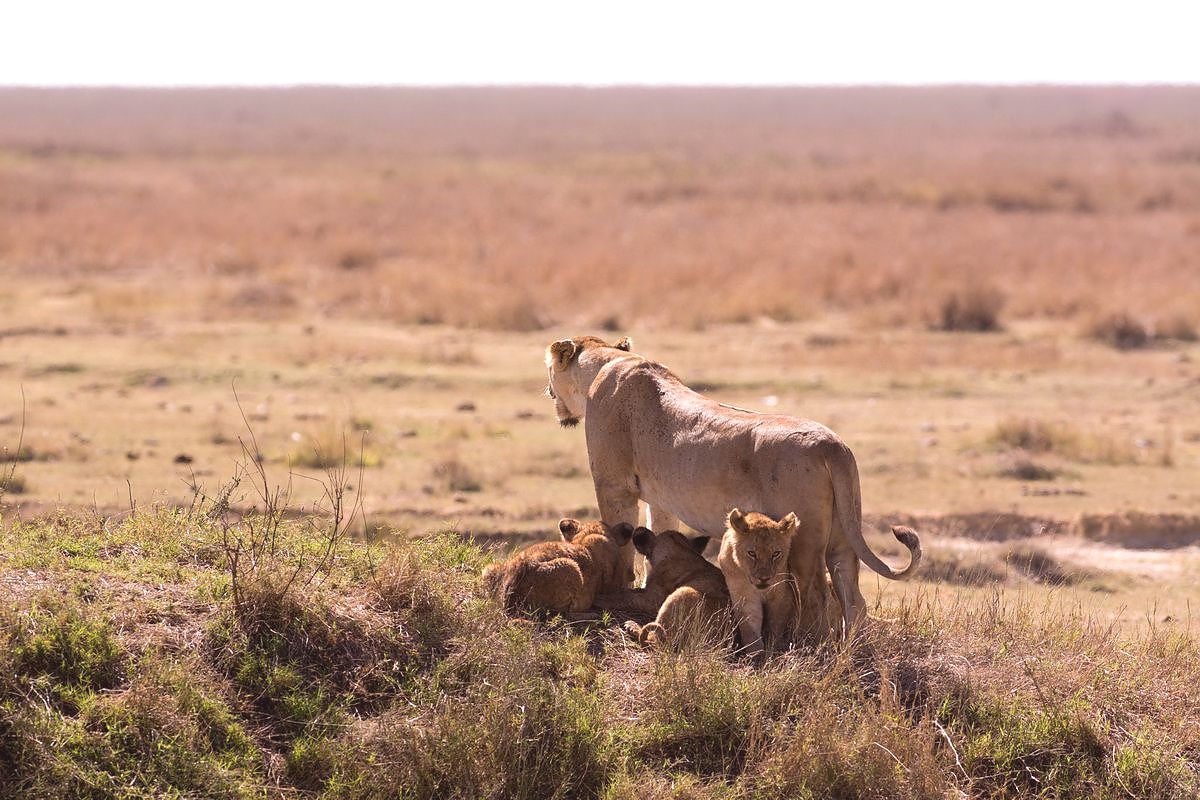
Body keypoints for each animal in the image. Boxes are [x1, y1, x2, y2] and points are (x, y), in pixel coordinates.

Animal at [595, 527, 732, 647]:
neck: (681, 549)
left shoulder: (651, 599)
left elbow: (624, 597)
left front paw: (599, 599)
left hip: (681, 593)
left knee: (654, 640)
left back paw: (632, 626)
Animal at [719, 508, 801, 658]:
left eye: (775, 554)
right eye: (752, 553)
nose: (764, 578)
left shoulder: (781, 594)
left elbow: (776, 623)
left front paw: (774, 648)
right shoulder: (745, 596)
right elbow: (750, 628)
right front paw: (756, 655)